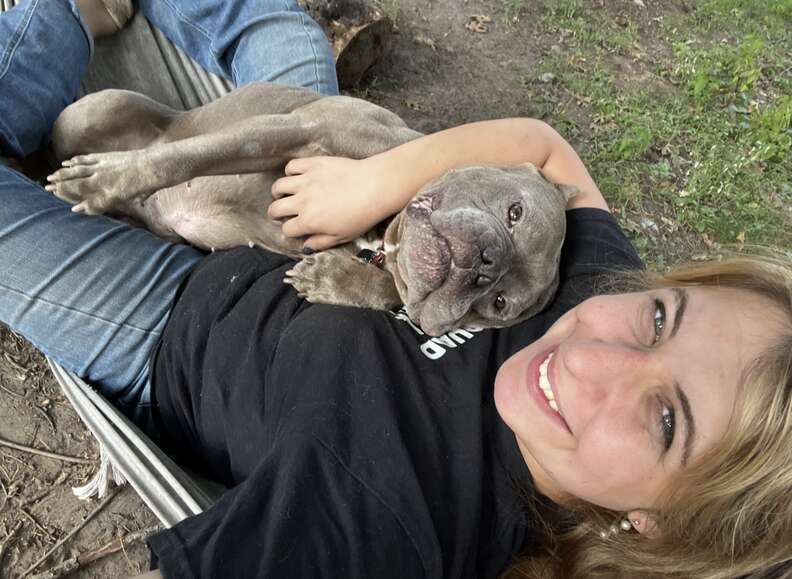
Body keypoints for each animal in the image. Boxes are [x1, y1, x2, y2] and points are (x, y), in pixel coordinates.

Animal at [44, 81, 576, 336]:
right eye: (514, 213)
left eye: (498, 303)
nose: (487, 263)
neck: (378, 229)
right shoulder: (290, 131)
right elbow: (186, 157)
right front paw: (105, 179)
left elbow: (393, 293)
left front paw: (332, 280)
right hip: (87, 114)